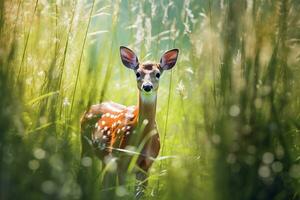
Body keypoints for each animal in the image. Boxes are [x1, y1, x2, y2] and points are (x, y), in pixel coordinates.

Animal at [80, 46, 178, 198]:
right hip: (85, 145)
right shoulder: (122, 162)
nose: (147, 86)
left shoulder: (146, 166)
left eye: (157, 74)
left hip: (106, 159)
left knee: (103, 185)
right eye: (138, 73)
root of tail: (87, 110)